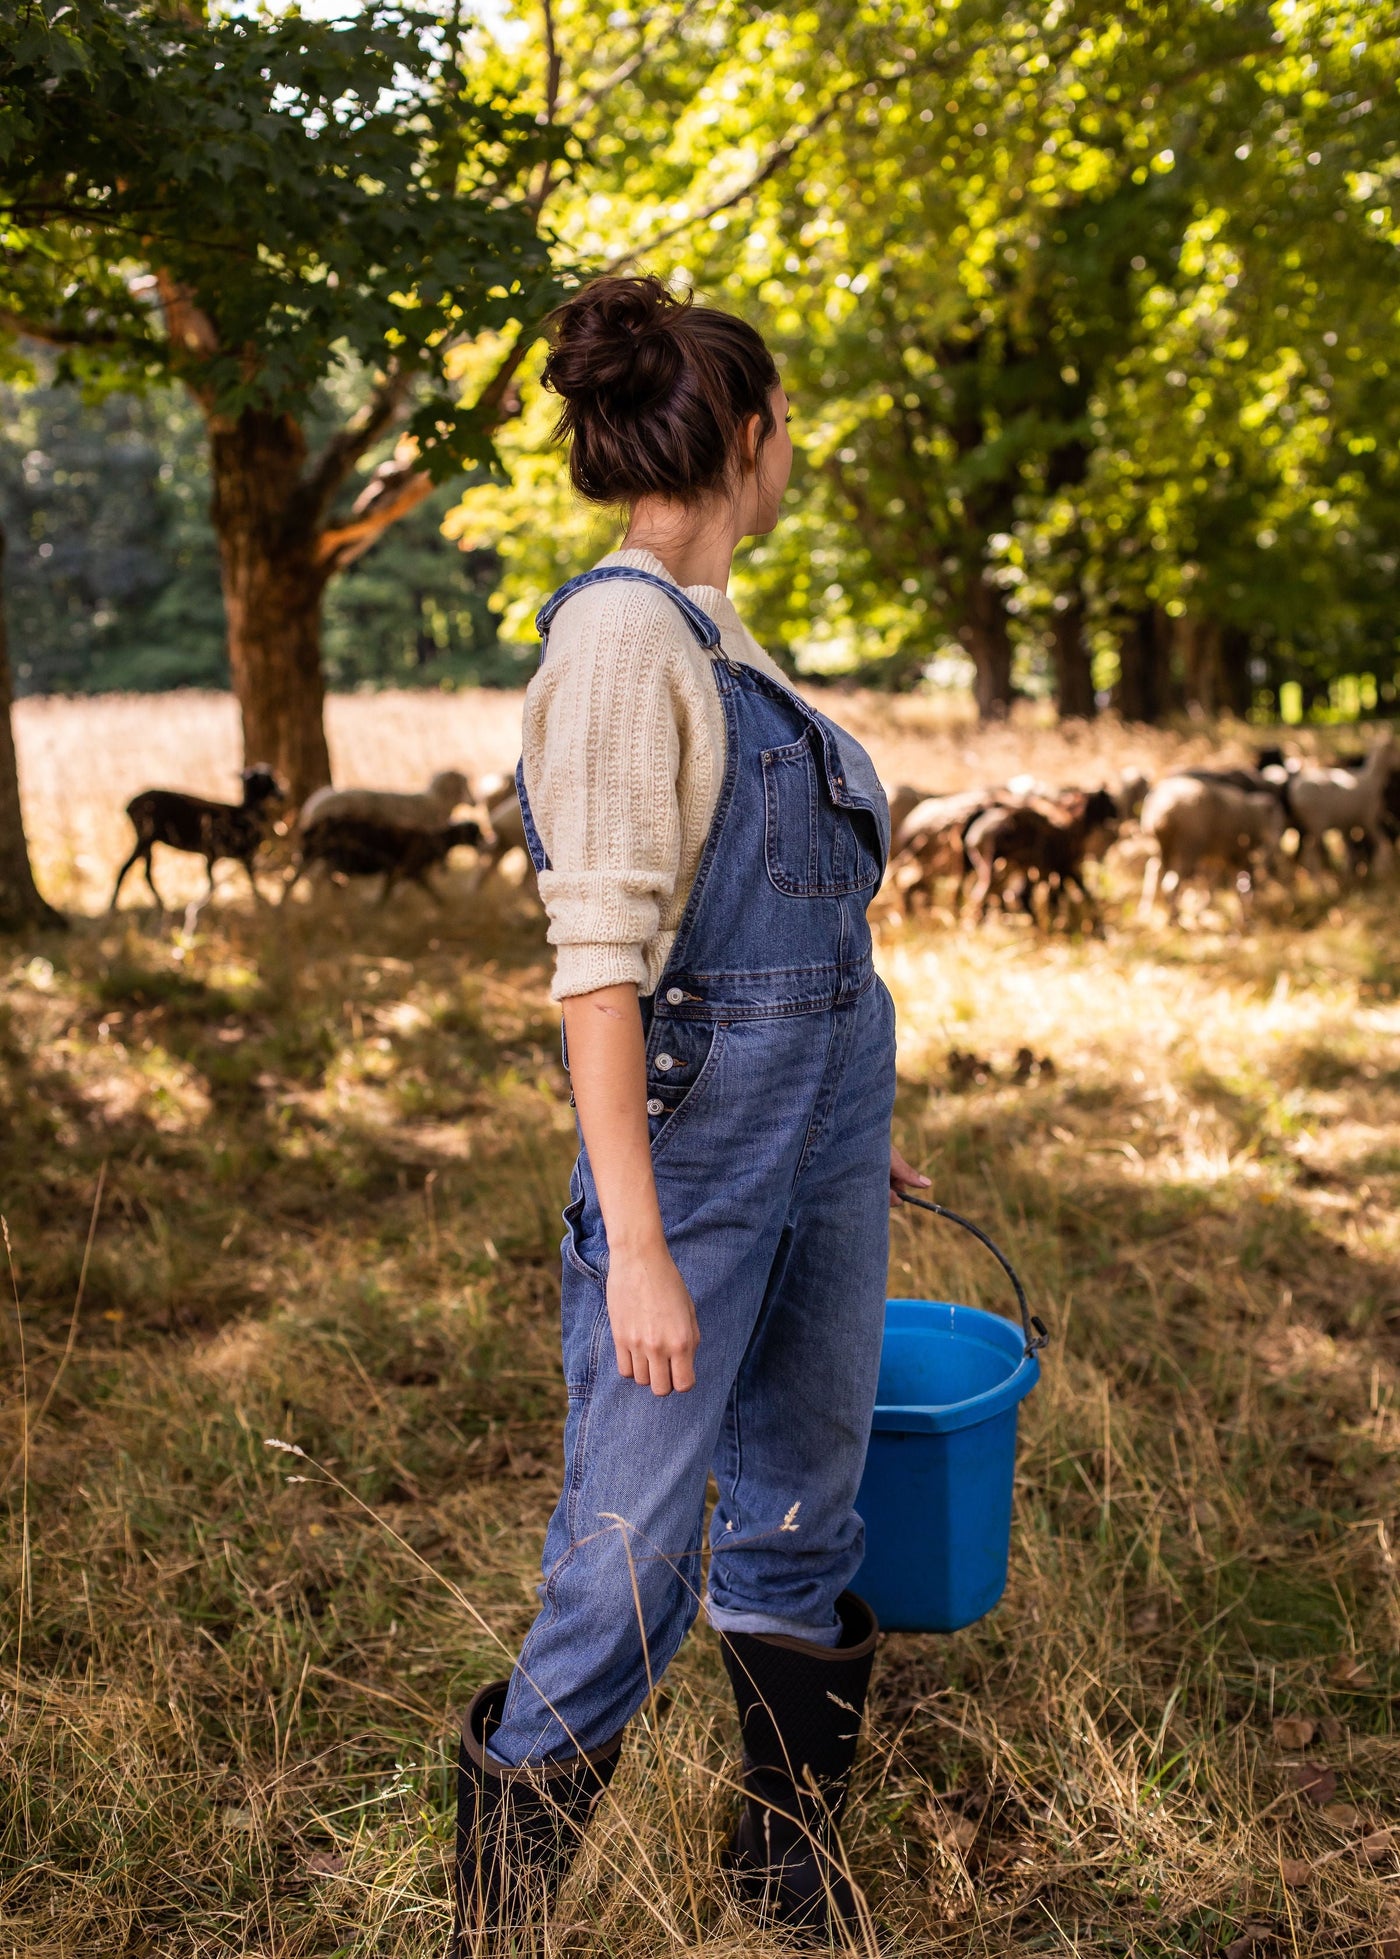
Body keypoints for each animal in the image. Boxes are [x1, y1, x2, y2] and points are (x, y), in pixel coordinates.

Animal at [111, 760, 285, 920]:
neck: (244, 814)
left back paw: (158, 904)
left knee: (143, 870)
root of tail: (129, 806)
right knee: (129, 867)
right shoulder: (231, 854)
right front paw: (262, 903)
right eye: (266, 779)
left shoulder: (214, 855)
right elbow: (243, 880)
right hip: (146, 836)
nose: (282, 794)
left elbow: (213, 882)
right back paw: (117, 907)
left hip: (148, 838)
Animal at [291, 811, 487, 901]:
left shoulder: (395, 871)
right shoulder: (409, 868)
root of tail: (313, 826)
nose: (487, 841)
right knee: (321, 878)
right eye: (476, 832)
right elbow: (430, 891)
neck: (433, 839)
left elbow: (387, 893)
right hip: (335, 858)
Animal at [963, 783, 1120, 928]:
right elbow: (1077, 893)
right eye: (1108, 802)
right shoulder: (1063, 868)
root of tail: (973, 835)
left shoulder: (1048, 870)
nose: (1117, 814)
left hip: (1000, 869)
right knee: (982, 894)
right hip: (992, 868)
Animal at [1135, 771, 1284, 924]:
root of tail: (1162, 811)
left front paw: (1202, 907)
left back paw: (1146, 909)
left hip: (1158, 846)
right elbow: (1232, 885)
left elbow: (1211, 881)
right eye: (1277, 821)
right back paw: (1174, 919)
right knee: (1171, 884)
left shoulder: (1215, 857)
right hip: (1188, 847)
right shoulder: (1234, 855)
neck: (1254, 816)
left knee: (1154, 870)